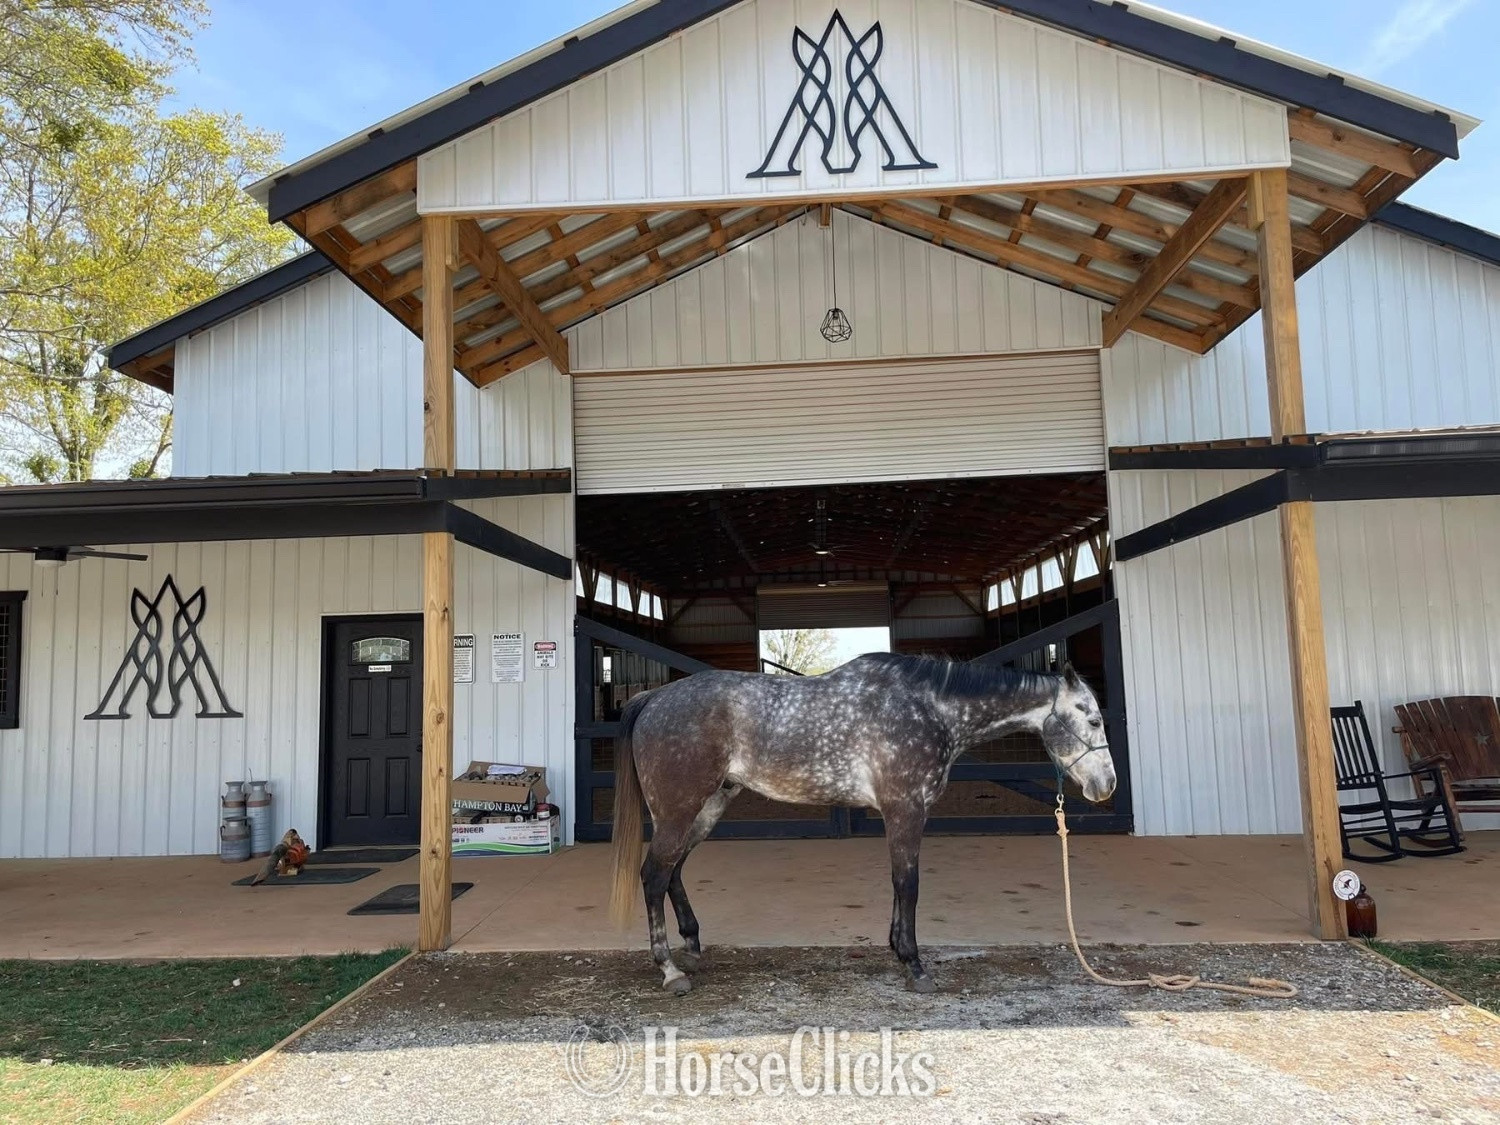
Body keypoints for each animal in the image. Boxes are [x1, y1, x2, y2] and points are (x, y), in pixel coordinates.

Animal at [609, 652, 1117, 994]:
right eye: (1092, 720)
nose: (1106, 785)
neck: (929, 707)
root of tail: (655, 697)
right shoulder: (906, 809)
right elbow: (909, 884)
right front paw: (914, 965)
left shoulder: (902, 813)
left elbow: (898, 884)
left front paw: (897, 949)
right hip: (679, 811)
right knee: (653, 875)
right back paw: (670, 971)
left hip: (706, 808)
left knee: (673, 871)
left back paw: (692, 949)